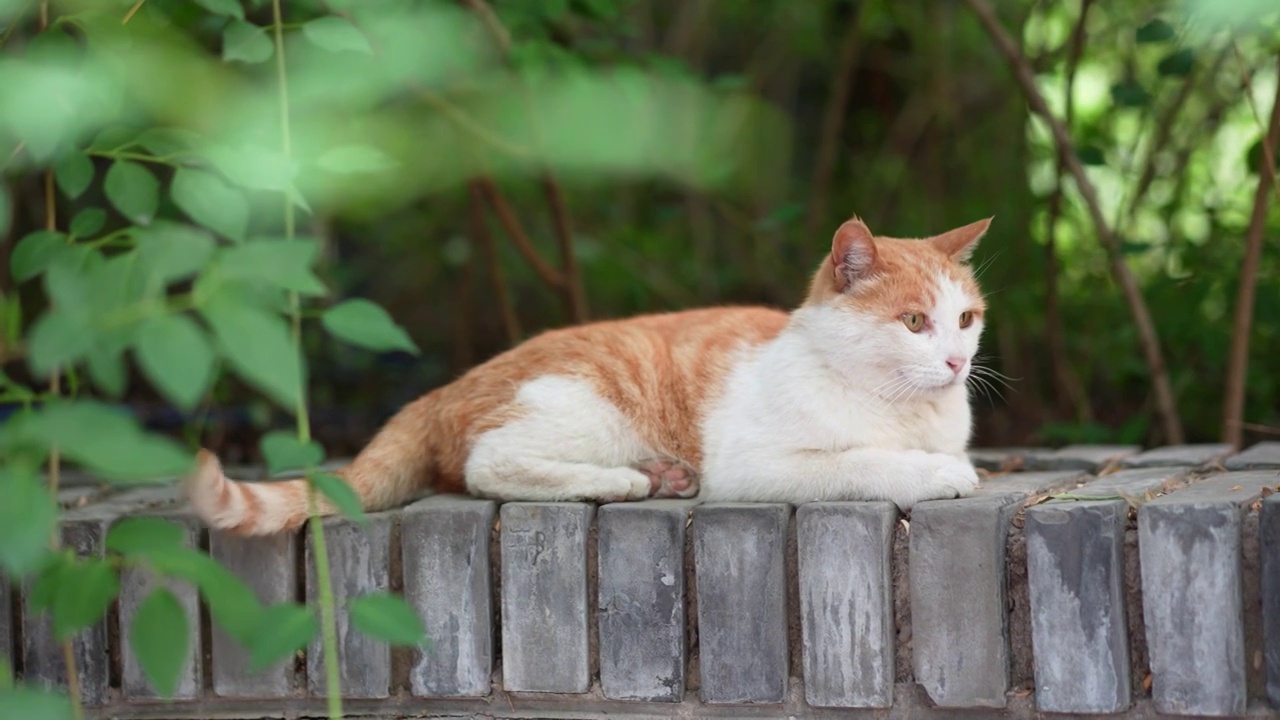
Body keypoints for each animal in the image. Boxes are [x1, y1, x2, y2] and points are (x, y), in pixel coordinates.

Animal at [186, 212, 988, 532]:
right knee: (487, 466)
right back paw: (631, 482)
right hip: (585, 405)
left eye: (966, 320)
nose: (957, 361)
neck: (904, 409)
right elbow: (862, 462)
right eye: (914, 323)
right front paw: (934, 472)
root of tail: (444, 388)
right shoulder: (755, 464)